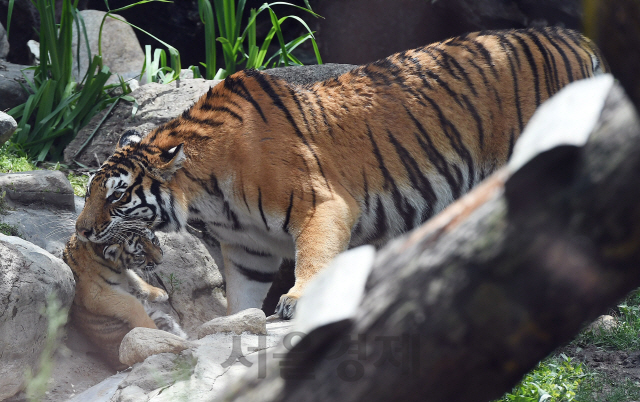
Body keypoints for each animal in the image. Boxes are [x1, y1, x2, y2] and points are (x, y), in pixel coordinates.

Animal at [75, 26, 604, 318]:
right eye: (91, 192)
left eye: (117, 198)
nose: (81, 231)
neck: (209, 198)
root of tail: (575, 37)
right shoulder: (247, 250)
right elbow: (241, 301)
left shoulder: (323, 204)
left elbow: (313, 257)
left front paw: (296, 300)